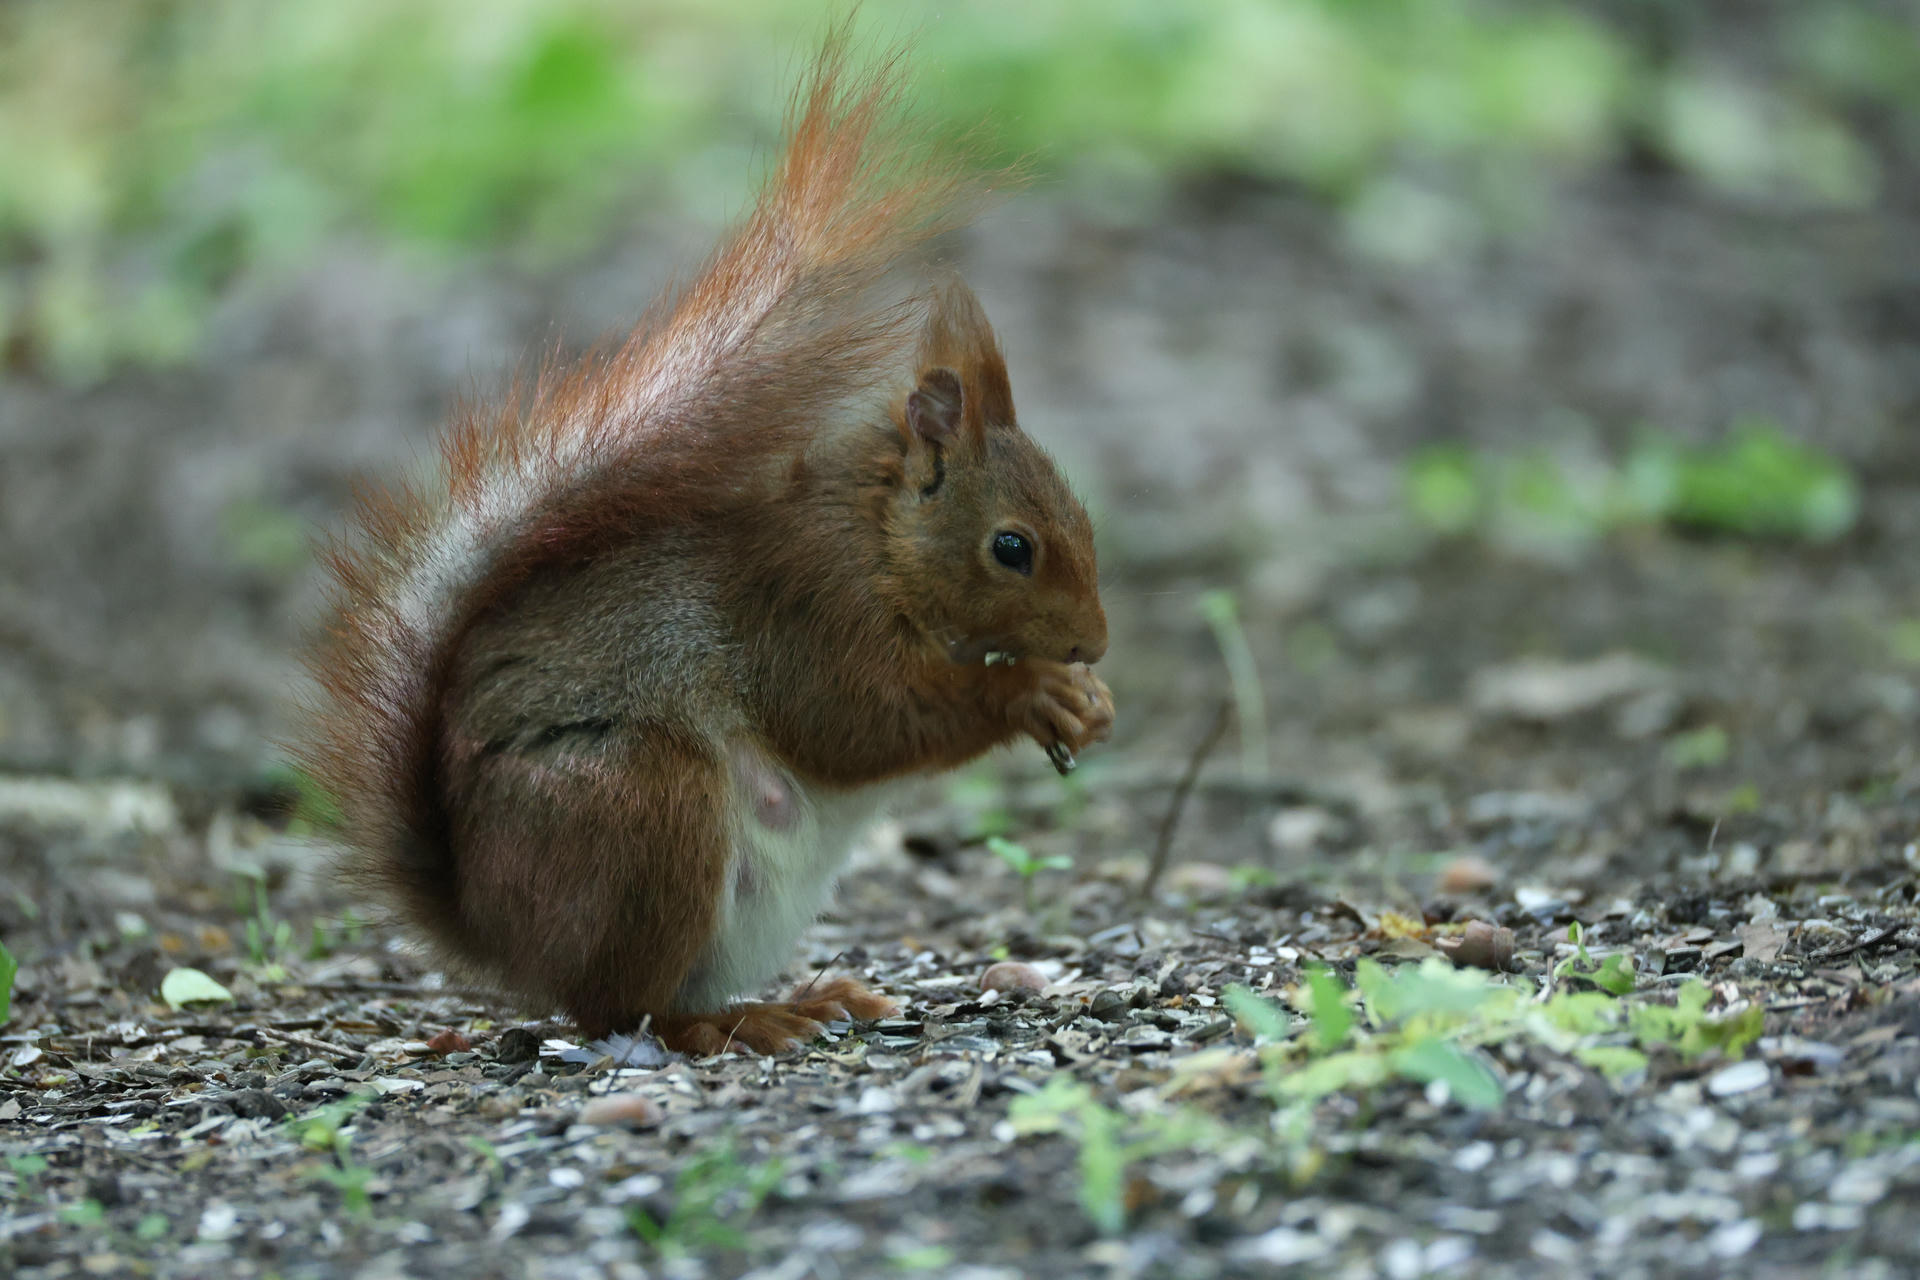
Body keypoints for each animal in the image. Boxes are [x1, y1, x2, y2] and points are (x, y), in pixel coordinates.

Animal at [299, 36, 1113, 1056]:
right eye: (1012, 547)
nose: (1095, 643)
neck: (878, 537)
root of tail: (498, 931)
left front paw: (1085, 700)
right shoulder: (806, 603)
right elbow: (860, 718)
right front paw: (1033, 690)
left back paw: (818, 996)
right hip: (649, 808)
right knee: (624, 1008)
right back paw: (748, 1021)